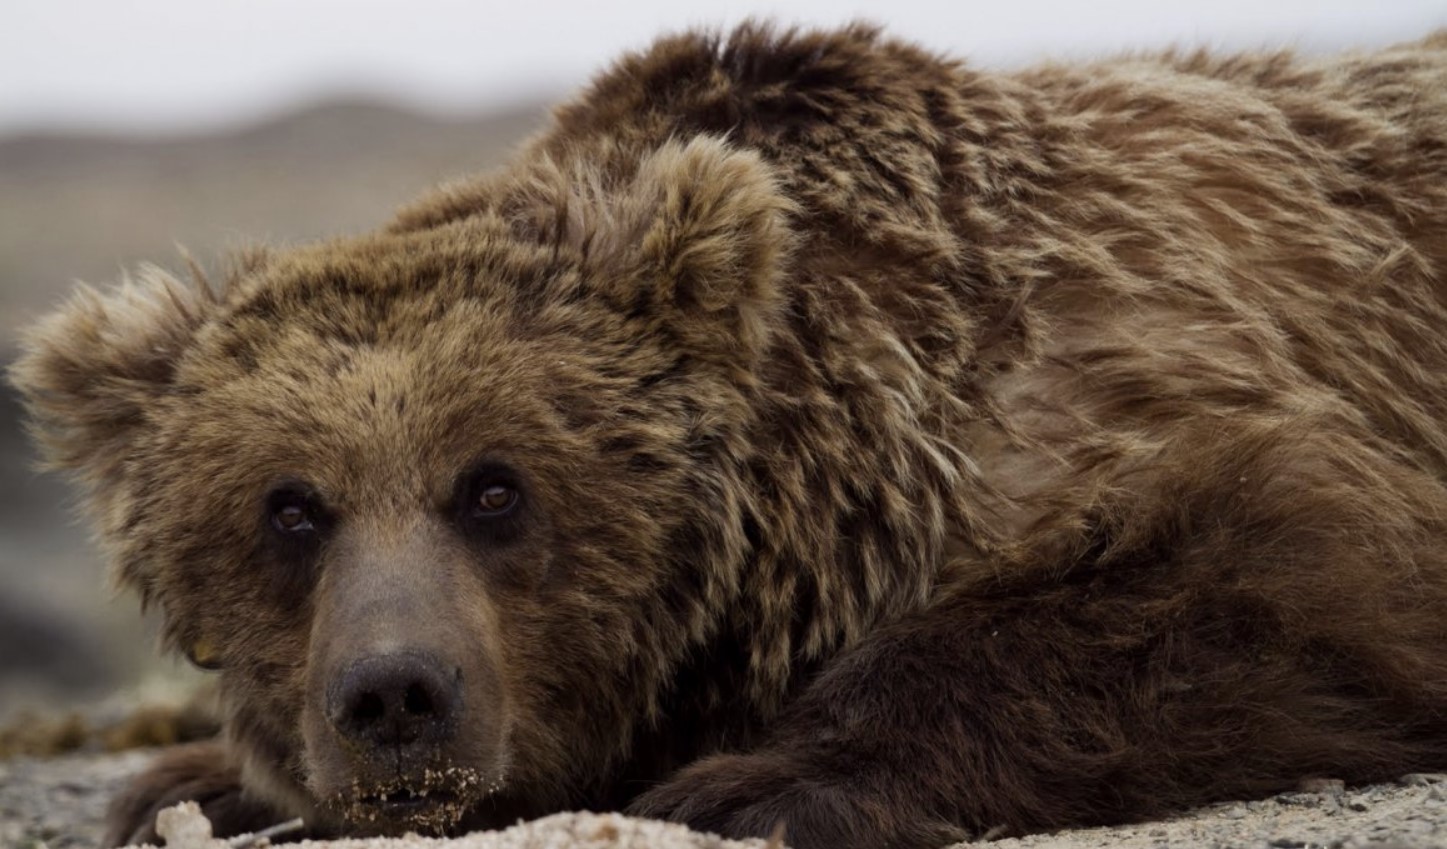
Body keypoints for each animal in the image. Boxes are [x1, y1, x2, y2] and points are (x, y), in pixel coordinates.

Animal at [8, 18, 1447, 849]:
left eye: (494, 486)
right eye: (290, 506)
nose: (394, 697)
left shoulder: (1150, 360)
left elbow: (1290, 579)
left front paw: (752, 781)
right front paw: (191, 781)